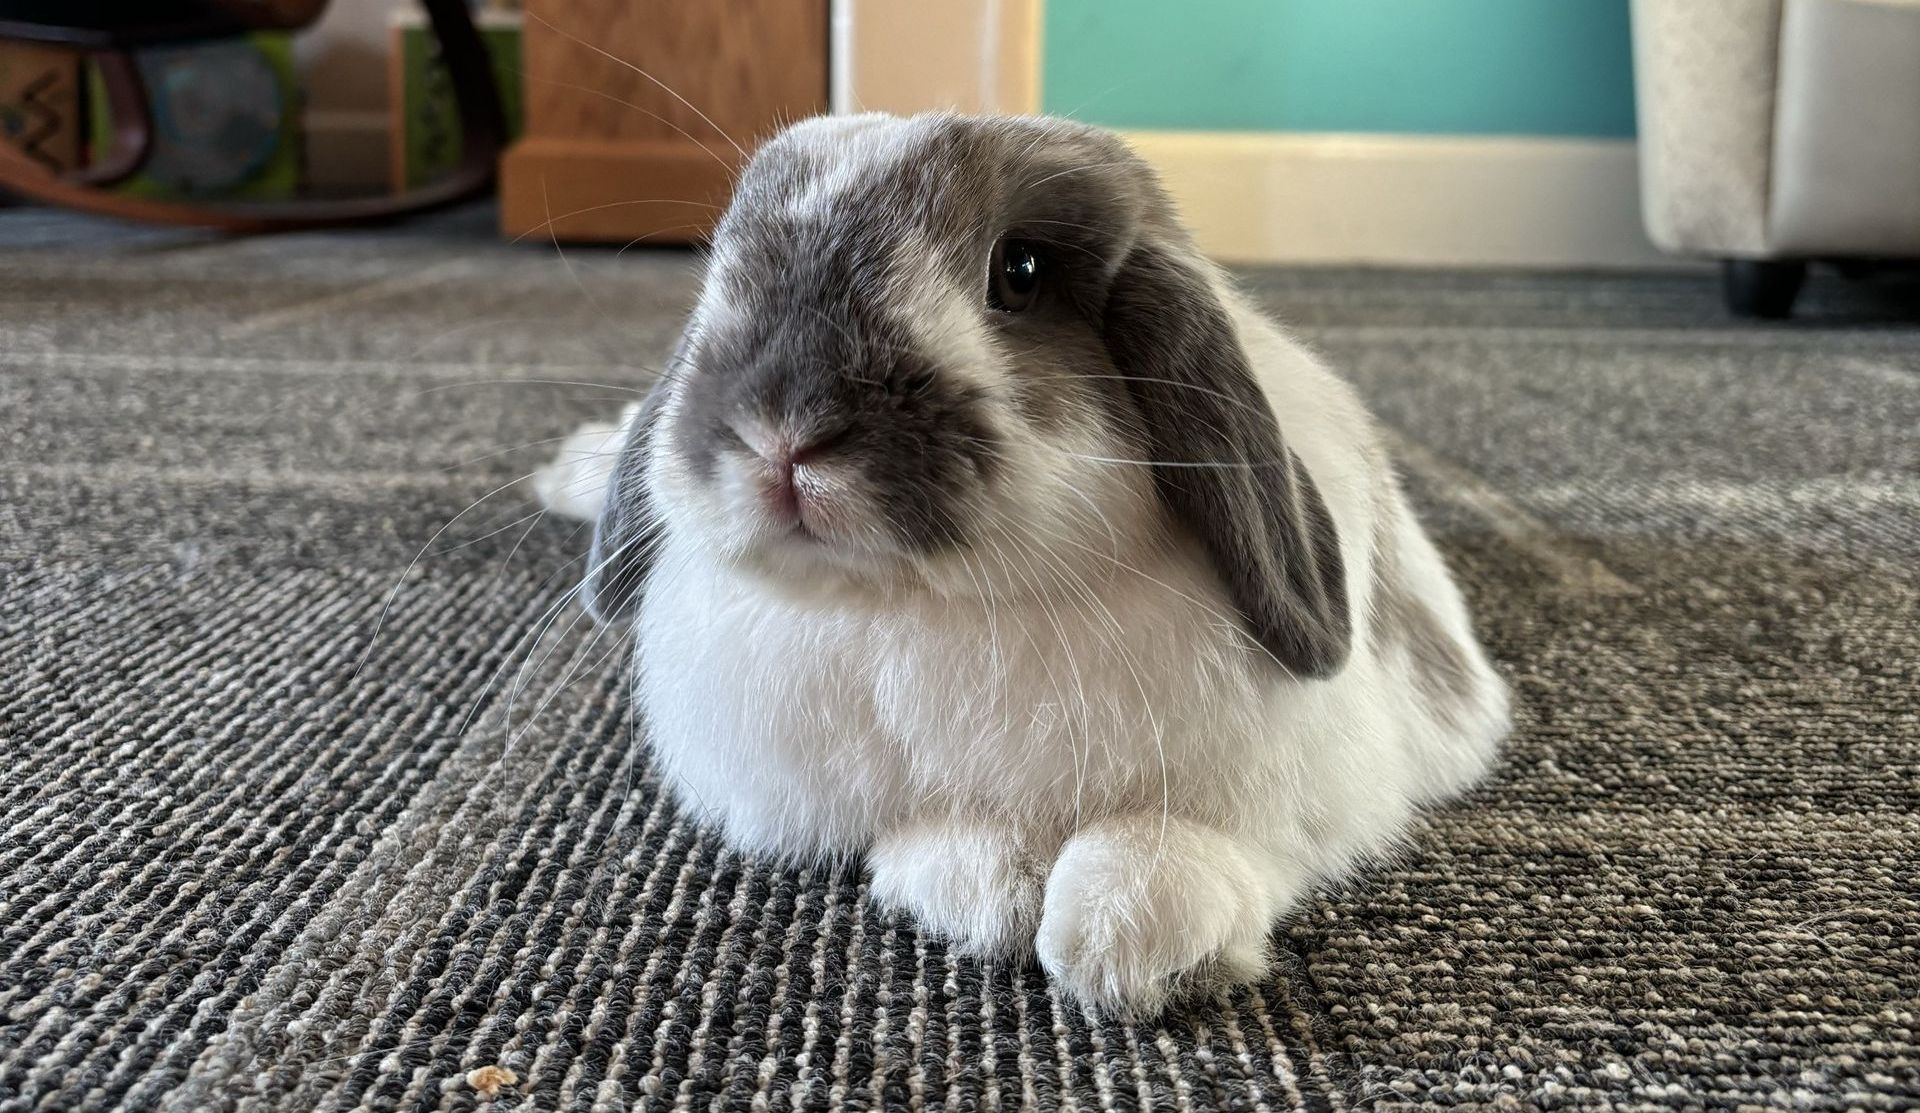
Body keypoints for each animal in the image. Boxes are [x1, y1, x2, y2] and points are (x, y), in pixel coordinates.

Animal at [536, 112, 1509, 1015]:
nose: (784, 428)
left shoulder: (1300, 789)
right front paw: (984, 893)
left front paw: (1131, 941)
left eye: (1023, 271)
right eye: (725, 261)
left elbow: (1188, 844)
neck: (930, 606)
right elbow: (954, 835)